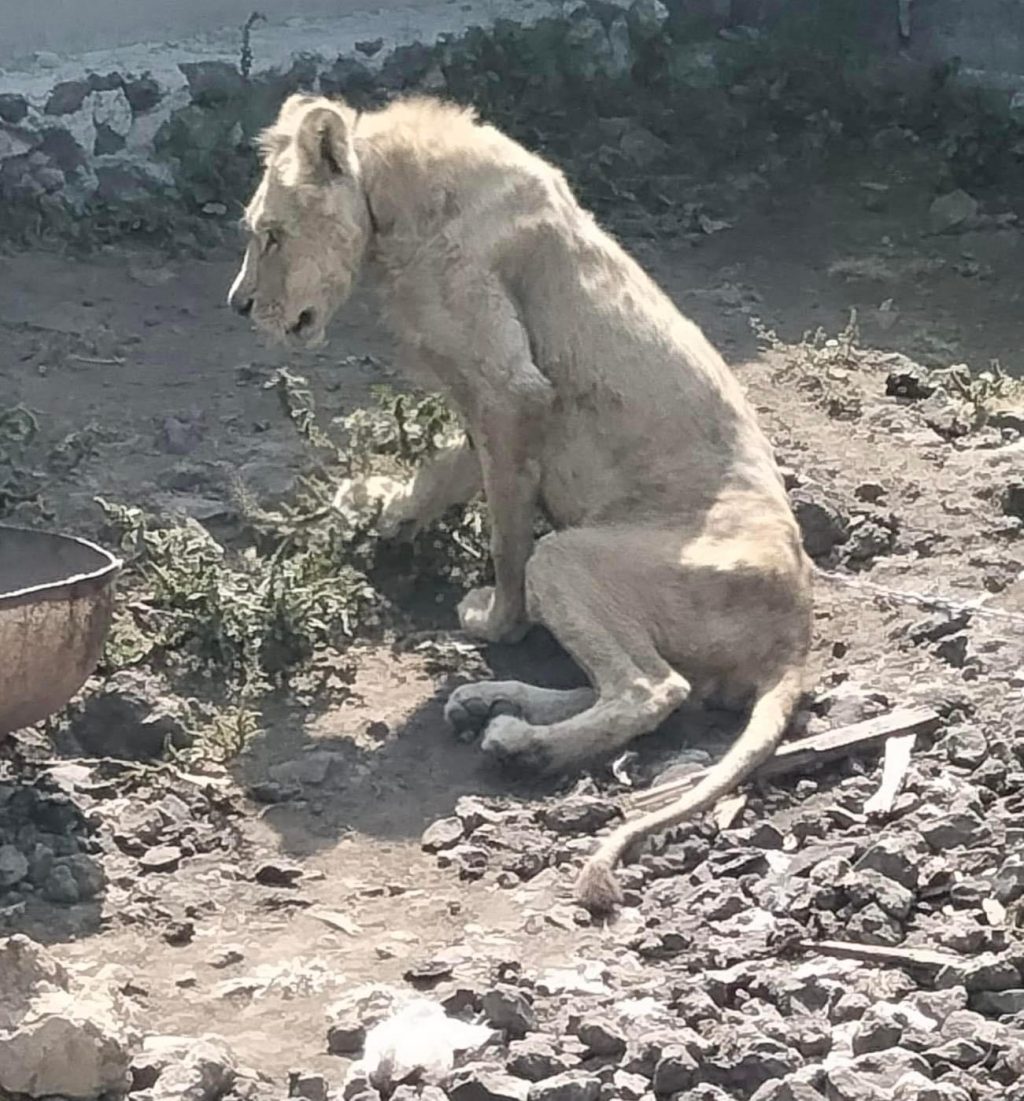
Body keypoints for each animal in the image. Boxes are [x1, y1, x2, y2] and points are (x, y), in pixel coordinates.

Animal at [229, 94, 813, 912]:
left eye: (272, 235)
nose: (239, 304)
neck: (391, 199)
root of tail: (798, 627)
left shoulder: (509, 389)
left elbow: (504, 534)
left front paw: (494, 619)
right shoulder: (484, 399)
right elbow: (444, 469)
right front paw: (381, 510)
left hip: (569, 557)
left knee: (650, 688)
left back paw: (523, 746)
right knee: (642, 680)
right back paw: (488, 705)